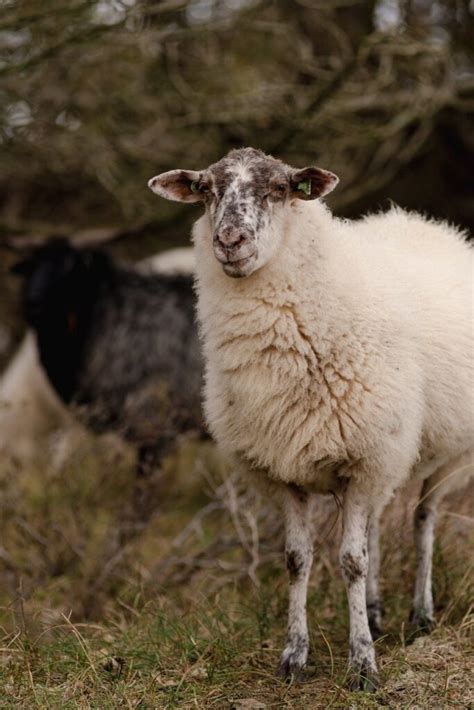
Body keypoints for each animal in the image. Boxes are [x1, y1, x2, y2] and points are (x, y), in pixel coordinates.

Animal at [149, 149, 474, 688]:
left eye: (280, 189)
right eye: (206, 191)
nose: (229, 241)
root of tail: (423, 223)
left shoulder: (363, 460)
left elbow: (350, 561)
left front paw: (362, 664)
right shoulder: (287, 470)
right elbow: (297, 560)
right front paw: (294, 656)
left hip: (448, 455)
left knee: (424, 519)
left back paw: (421, 614)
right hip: (387, 457)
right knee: (378, 525)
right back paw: (377, 611)